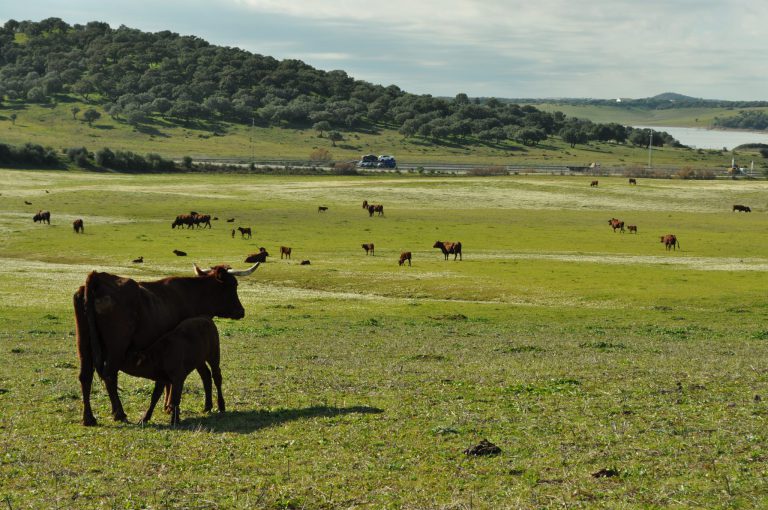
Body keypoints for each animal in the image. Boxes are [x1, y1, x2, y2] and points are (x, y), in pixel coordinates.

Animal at [75, 260, 260, 424]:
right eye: (233, 285)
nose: (241, 311)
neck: (193, 294)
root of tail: (98, 279)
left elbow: (168, 381)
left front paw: (167, 406)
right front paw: (171, 407)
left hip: (84, 344)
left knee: (85, 376)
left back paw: (89, 418)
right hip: (116, 346)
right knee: (109, 375)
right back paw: (119, 413)